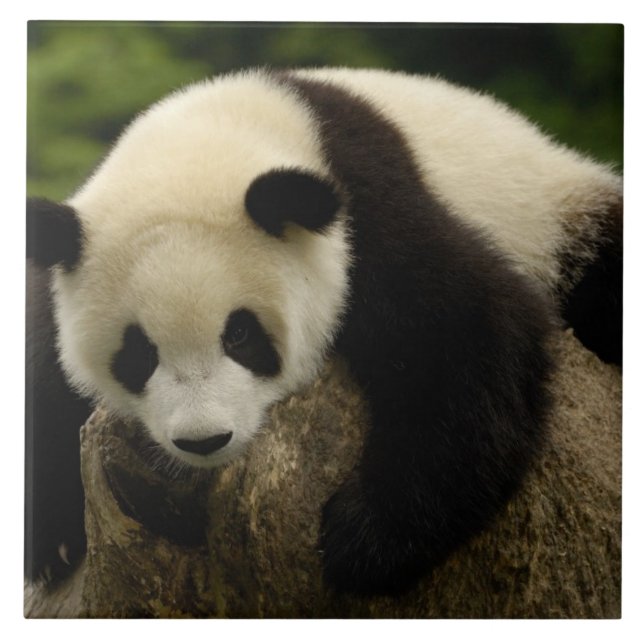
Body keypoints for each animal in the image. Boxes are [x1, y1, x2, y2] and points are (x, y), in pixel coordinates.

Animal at [26, 68, 622, 595]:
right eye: (138, 353)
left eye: (240, 335)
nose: (204, 439)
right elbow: (43, 375)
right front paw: (52, 540)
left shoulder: (368, 208)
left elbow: (468, 330)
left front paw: (362, 541)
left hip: (561, 219)